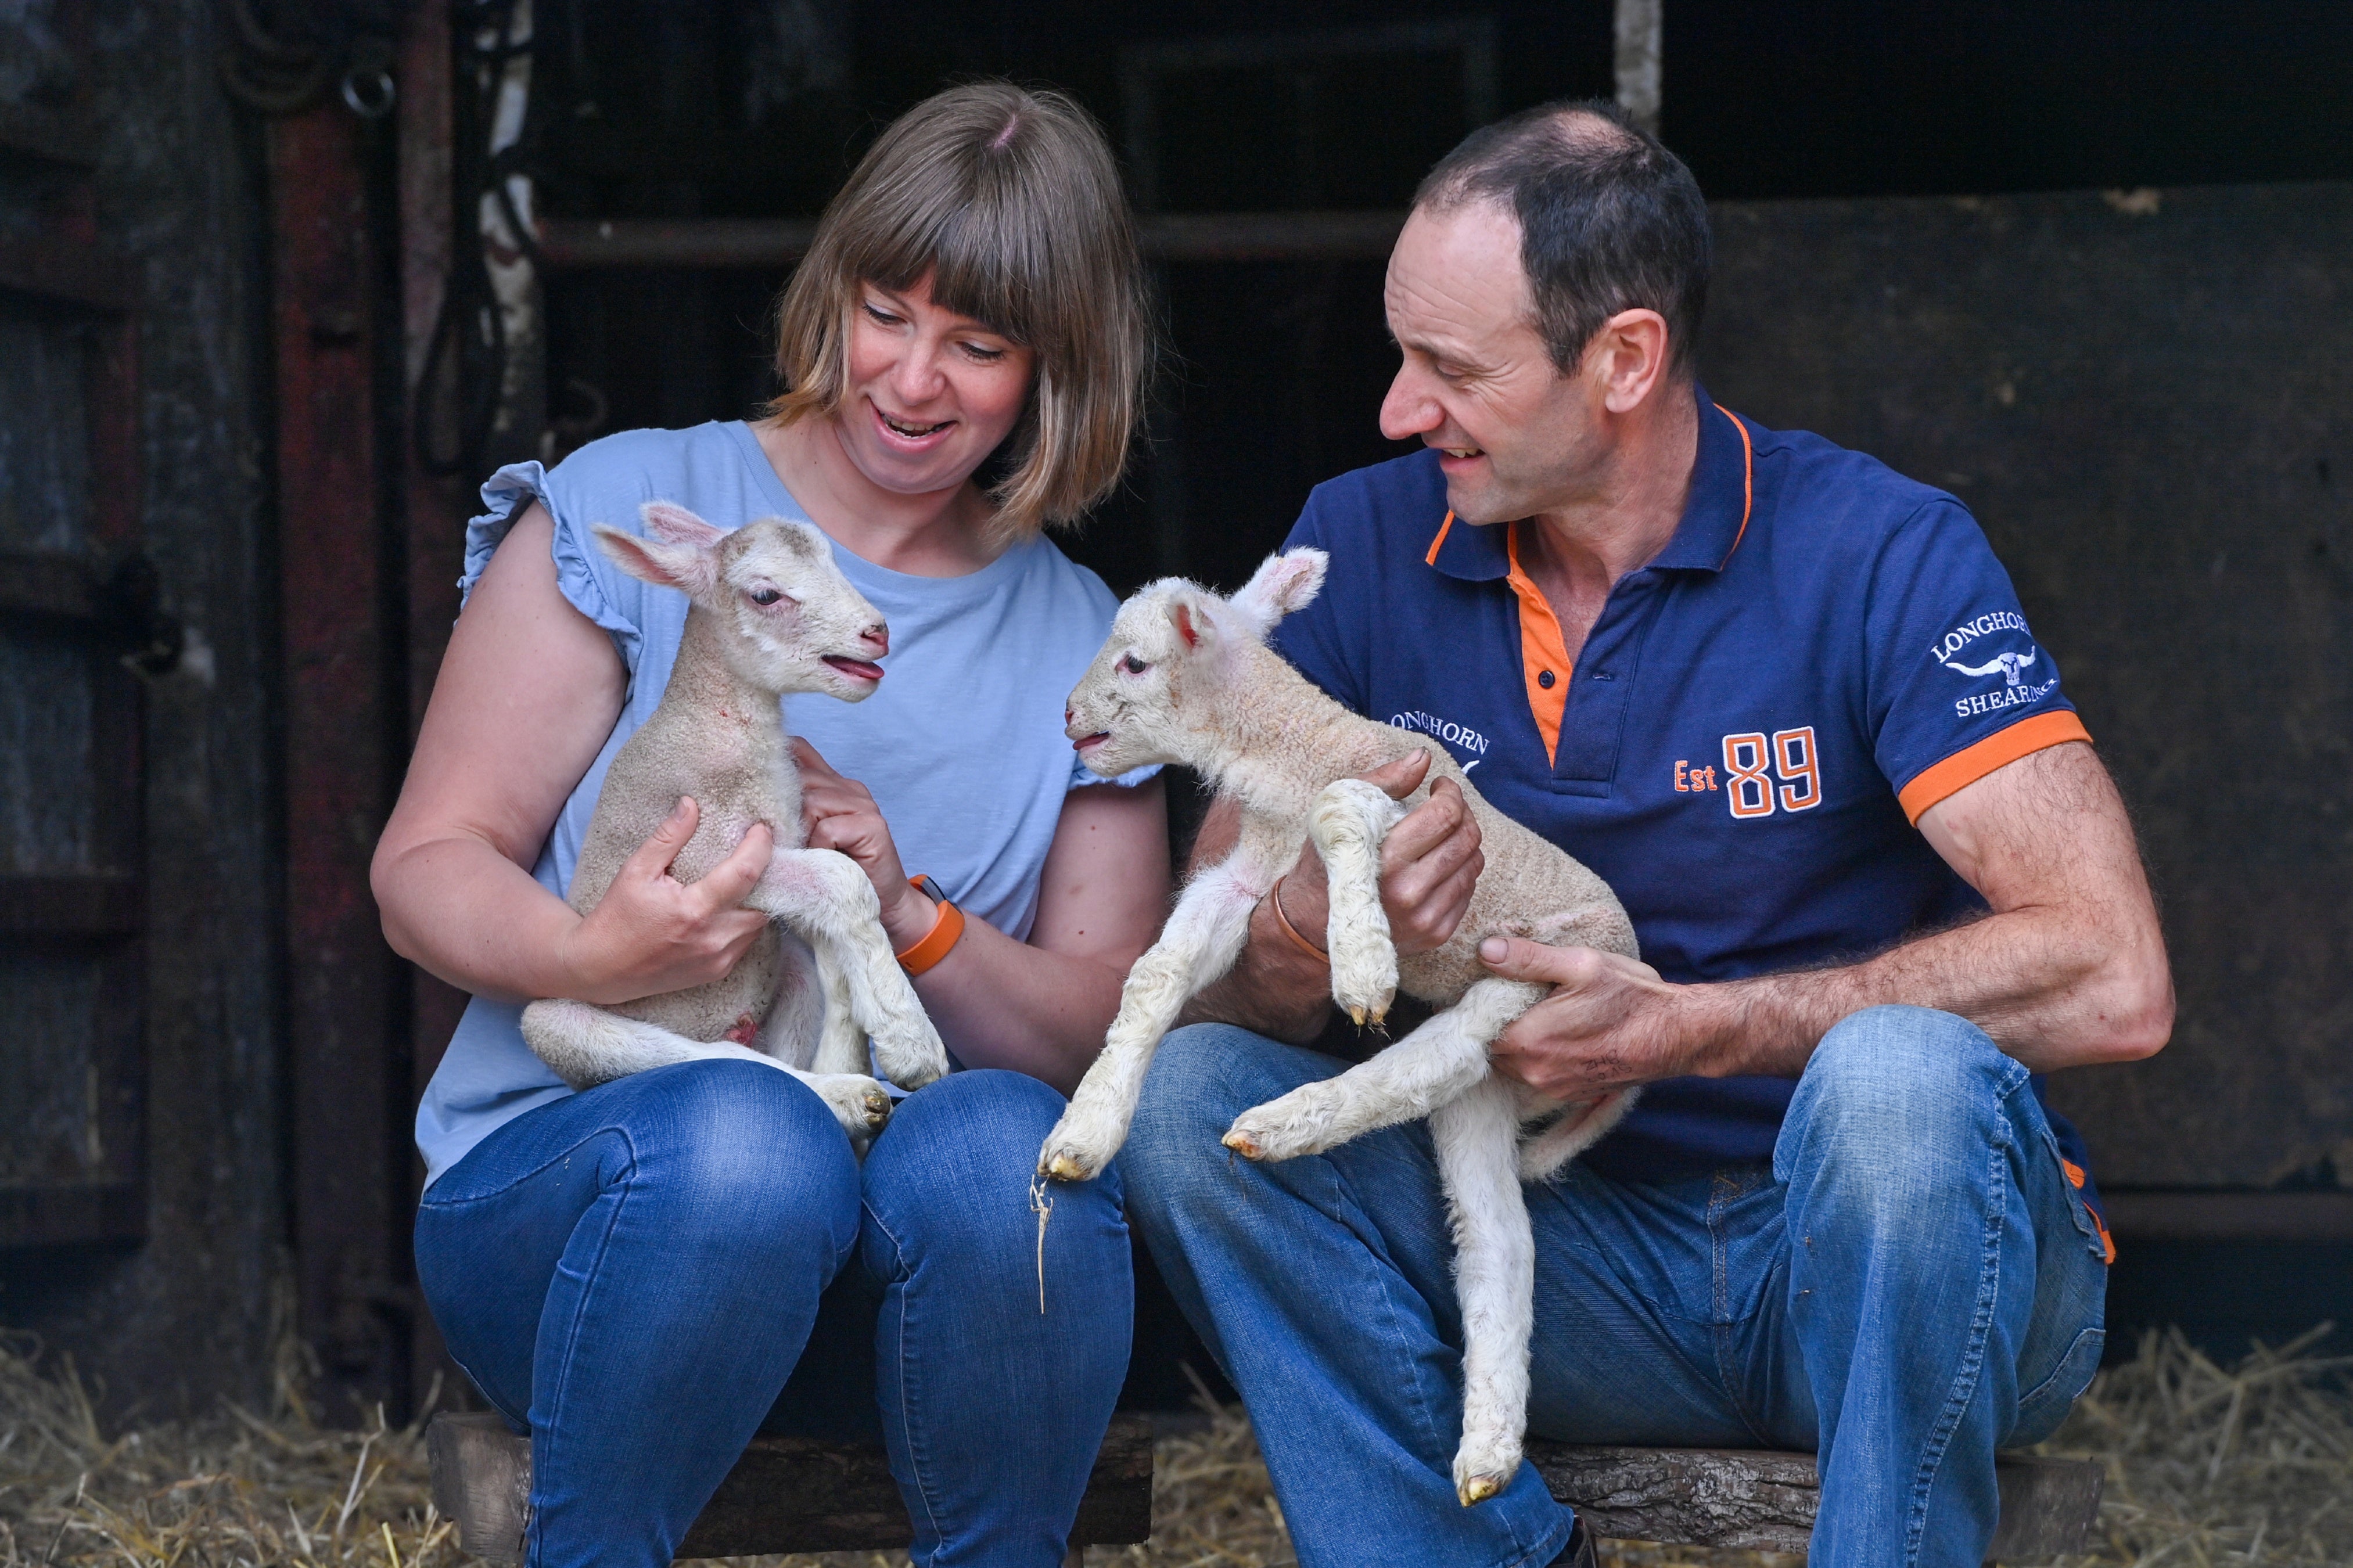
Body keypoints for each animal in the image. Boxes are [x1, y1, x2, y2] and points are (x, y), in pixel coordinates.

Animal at [519, 501, 948, 1150]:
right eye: (766, 594)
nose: (877, 632)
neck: (723, 733)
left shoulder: (793, 843)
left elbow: (837, 948)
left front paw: (867, 1038)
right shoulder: (701, 861)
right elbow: (846, 881)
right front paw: (913, 1045)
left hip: (783, 972)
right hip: (562, 1027)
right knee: (717, 1059)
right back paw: (849, 1097)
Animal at [1036, 547, 1641, 1506]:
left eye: (1131, 664)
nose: (1066, 716)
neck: (1292, 752)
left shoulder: (1405, 805)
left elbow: (1340, 812)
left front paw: (1359, 963)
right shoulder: (1247, 881)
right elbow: (1155, 974)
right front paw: (1085, 1130)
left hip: (1538, 973)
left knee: (1438, 1055)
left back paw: (1286, 1122)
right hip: (1493, 1090)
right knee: (1496, 1239)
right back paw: (1486, 1451)